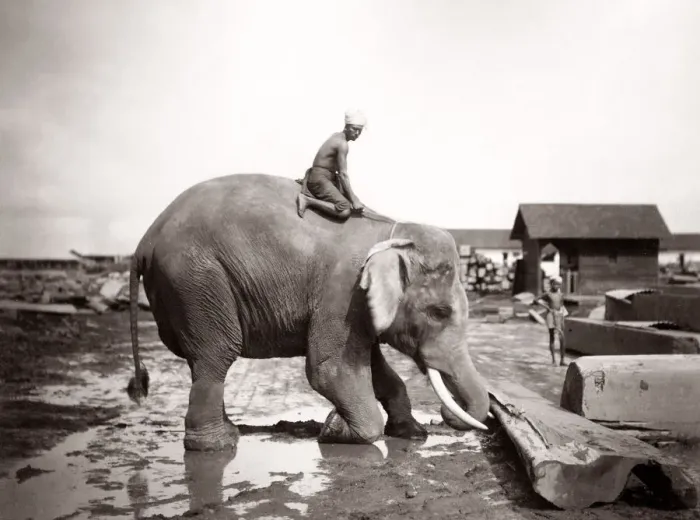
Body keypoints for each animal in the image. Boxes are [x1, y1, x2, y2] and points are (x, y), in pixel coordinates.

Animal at [126, 173, 491, 452]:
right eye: (439, 312)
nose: (443, 416)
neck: (391, 233)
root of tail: (143, 241)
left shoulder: (358, 308)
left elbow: (376, 367)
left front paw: (411, 432)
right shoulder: (341, 292)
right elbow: (328, 369)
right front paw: (334, 429)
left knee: (202, 359)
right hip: (196, 280)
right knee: (217, 354)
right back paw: (218, 444)